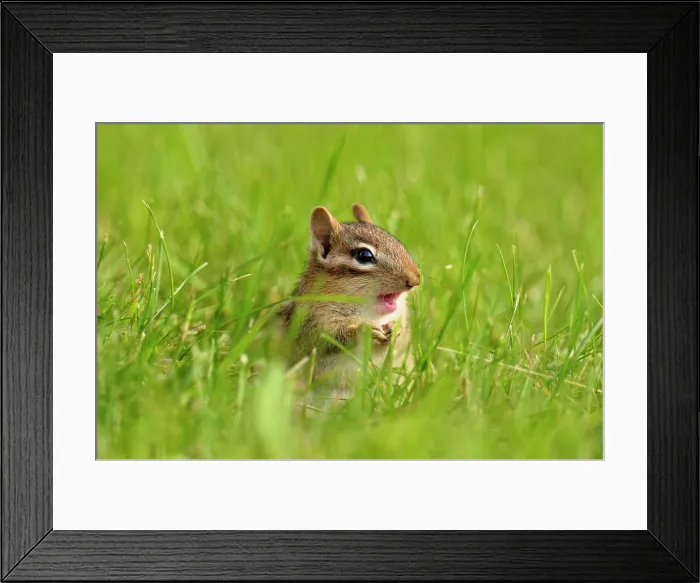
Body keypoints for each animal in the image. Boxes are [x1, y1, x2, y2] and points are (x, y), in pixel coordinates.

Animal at [281, 203, 421, 389]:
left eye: (399, 243)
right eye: (364, 255)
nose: (416, 279)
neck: (371, 313)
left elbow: (402, 342)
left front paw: (396, 328)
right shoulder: (310, 324)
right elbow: (323, 341)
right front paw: (364, 331)